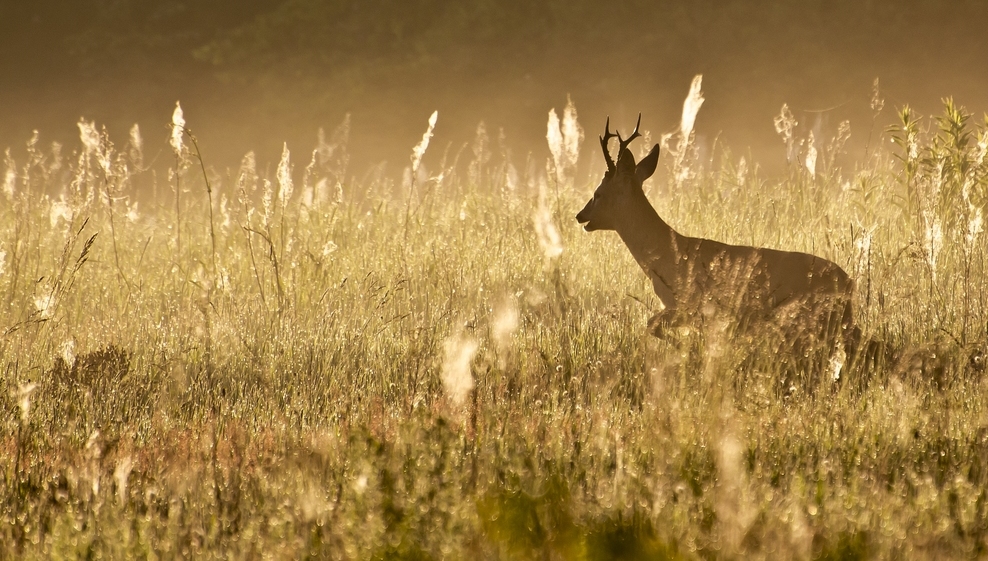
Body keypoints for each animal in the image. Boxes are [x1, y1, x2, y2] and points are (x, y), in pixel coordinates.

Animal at [580, 116, 856, 356]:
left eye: (598, 193)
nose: (580, 215)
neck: (666, 253)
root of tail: (849, 283)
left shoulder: (695, 307)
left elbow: (653, 323)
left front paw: (688, 350)